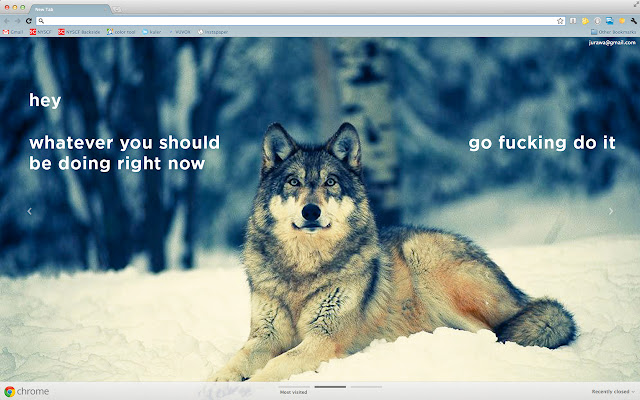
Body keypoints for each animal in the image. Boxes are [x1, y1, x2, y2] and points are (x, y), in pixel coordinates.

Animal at [210, 122, 576, 382]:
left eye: (330, 183)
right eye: (293, 182)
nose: (310, 211)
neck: (304, 269)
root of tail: (518, 294)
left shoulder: (324, 339)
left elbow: (271, 369)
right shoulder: (264, 336)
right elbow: (236, 361)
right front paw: (216, 381)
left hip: (424, 260)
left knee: (491, 334)